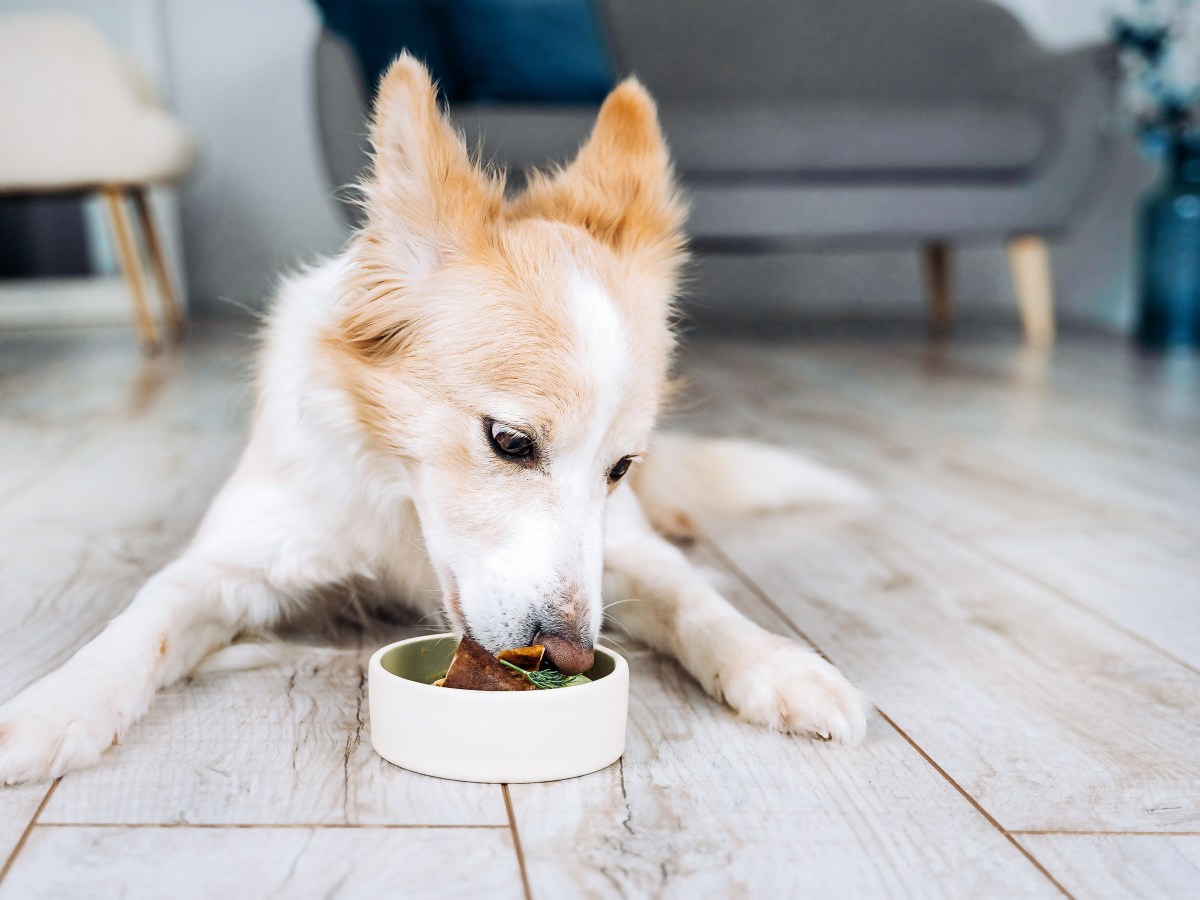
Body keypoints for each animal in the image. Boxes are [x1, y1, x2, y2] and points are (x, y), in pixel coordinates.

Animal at [0, 60, 873, 787]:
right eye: (509, 442)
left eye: (620, 468)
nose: (570, 654)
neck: (406, 507)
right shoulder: (234, 561)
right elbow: (142, 620)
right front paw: (57, 705)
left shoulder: (627, 546)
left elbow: (698, 600)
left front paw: (779, 664)